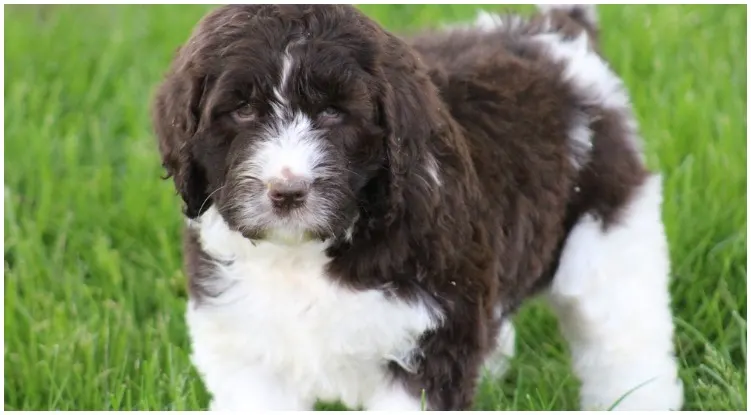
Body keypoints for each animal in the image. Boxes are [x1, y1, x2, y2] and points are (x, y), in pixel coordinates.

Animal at [151, 4, 688, 412]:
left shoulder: (431, 345)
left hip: (609, 234)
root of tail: (552, 37)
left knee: (625, 339)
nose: (287, 191)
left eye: (333, 112)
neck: (306, 254)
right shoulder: (244, 345)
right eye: (242, 109)